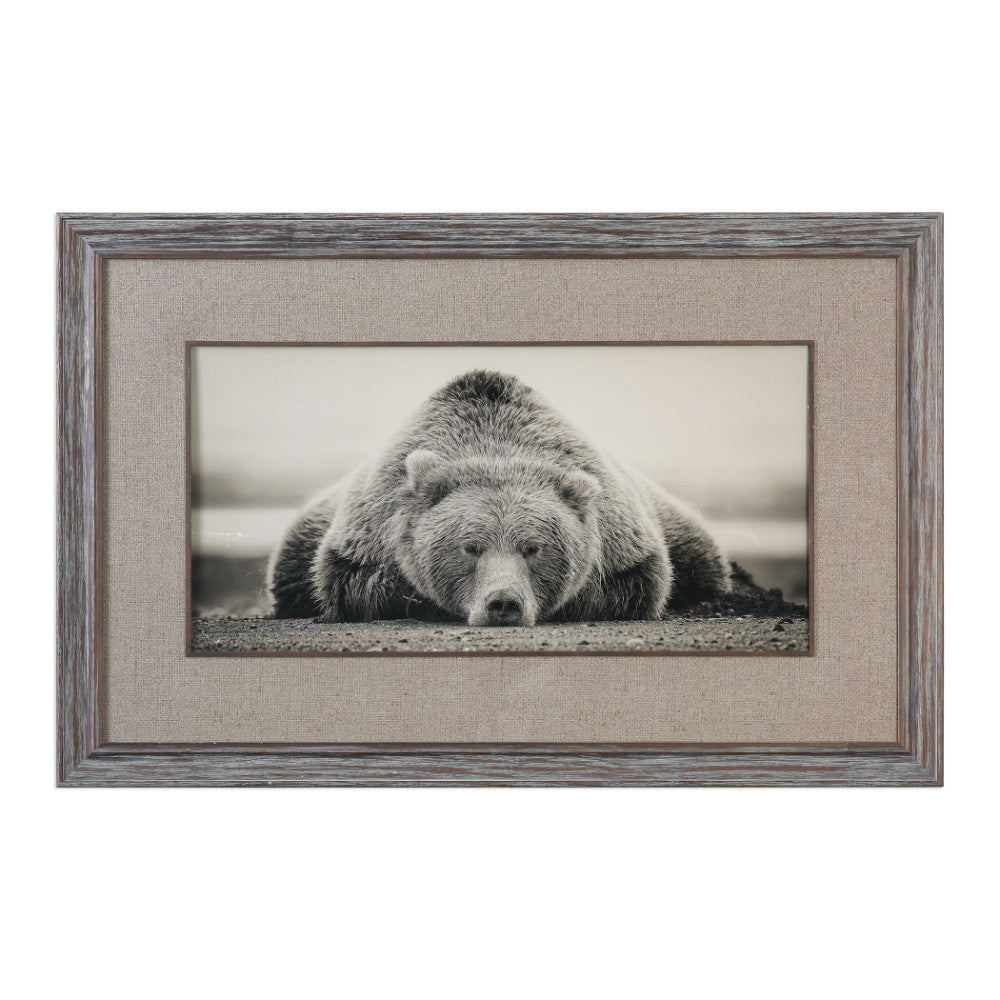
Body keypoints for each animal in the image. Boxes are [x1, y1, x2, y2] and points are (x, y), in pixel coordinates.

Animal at [267, 370, 730, 626]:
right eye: (471, 547)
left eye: (534, 548)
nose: (503, 603)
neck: (495, 445)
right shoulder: (368, 533)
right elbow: (355, 584)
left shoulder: (624, 541)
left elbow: (636, 584)